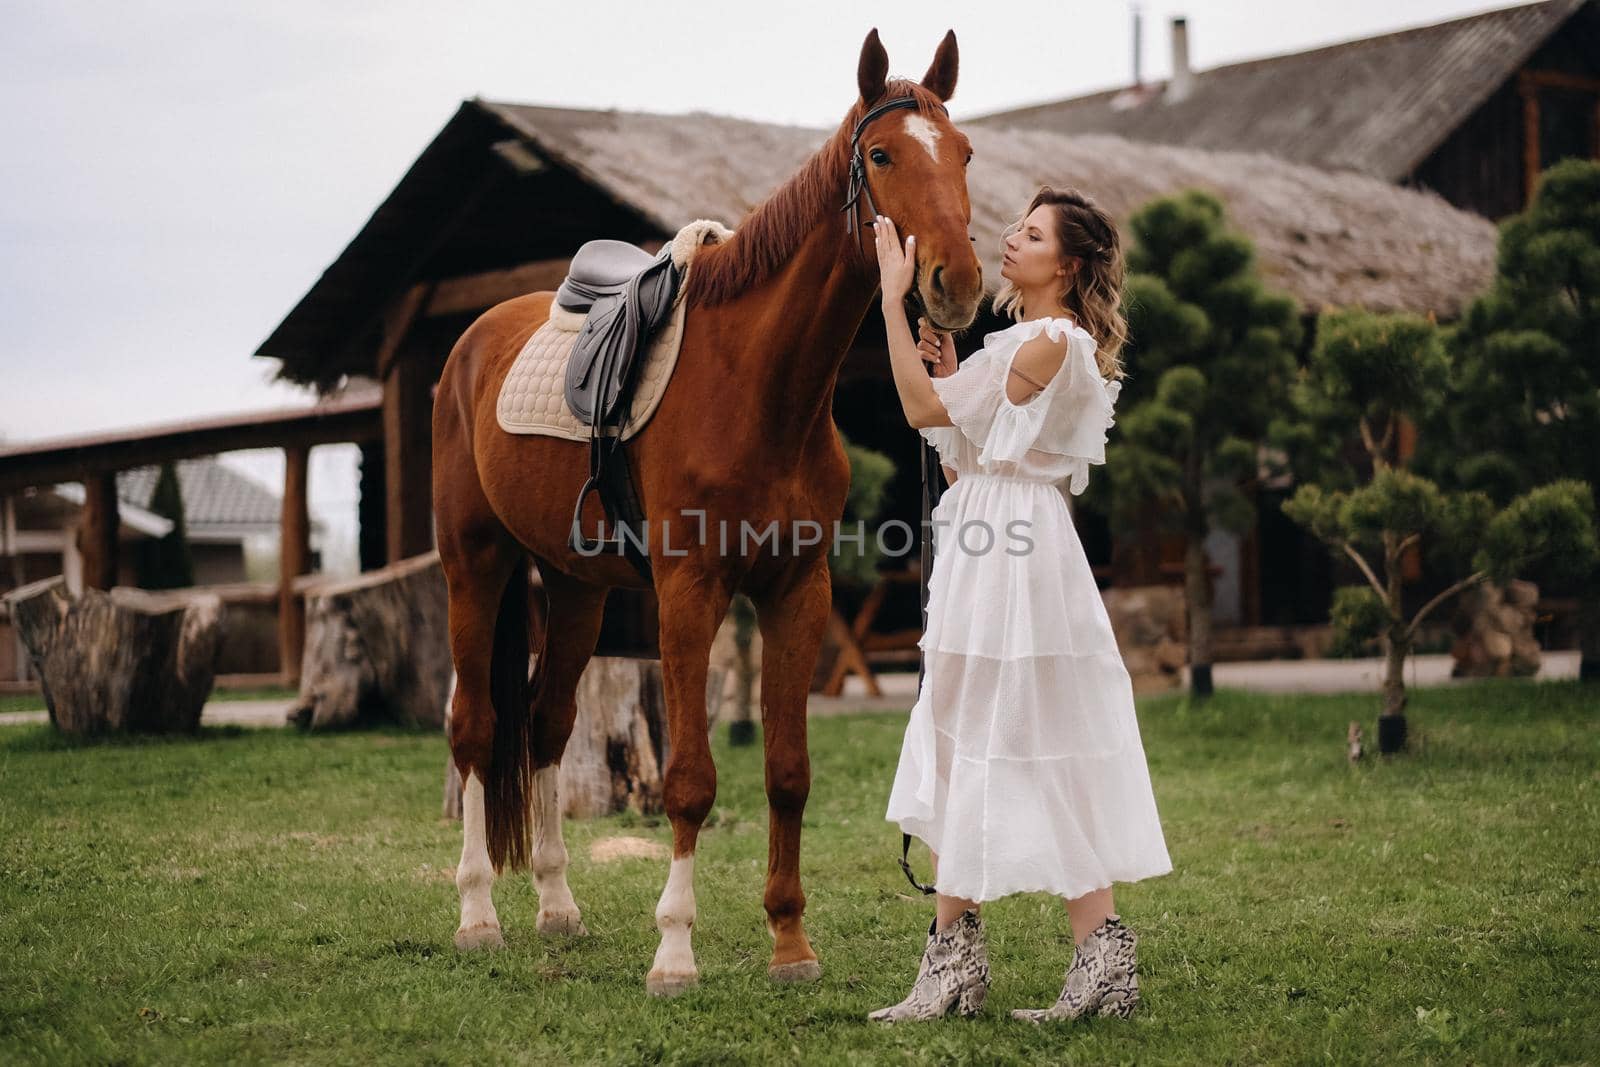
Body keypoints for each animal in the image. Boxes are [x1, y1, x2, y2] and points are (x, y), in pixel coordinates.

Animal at [432, 29, 979, 998]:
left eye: (964, 153)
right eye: (882, 155)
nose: (956, 283)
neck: (756, 384)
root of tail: (474, 339)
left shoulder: (797, 589)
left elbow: (788, 771)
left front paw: (790, 944)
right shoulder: (690, 592)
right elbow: (689, 777)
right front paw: (675, 952)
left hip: (575, 589)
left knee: (546, 725)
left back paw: (557, 907)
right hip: (477, 566)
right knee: (477, 730)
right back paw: (477, 916)